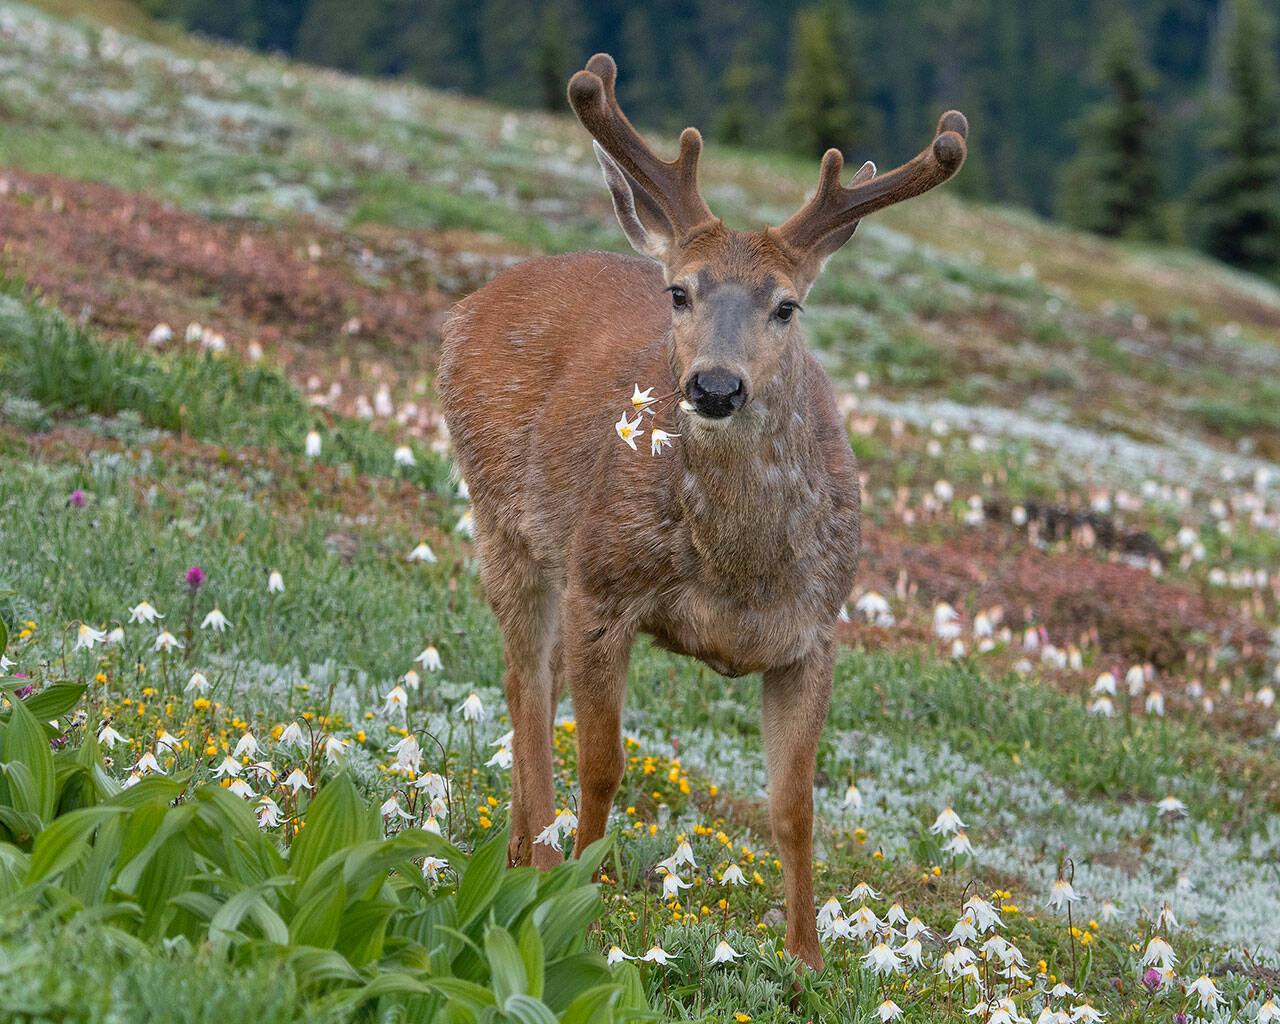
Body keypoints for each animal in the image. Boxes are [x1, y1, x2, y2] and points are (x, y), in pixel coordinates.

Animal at [435, 54, 962, 967]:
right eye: (679, 292)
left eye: (787, 304)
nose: (715, 386)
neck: (738, 571)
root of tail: (472, 303)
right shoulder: (601, 585)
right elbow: (603, 765)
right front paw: (584, 903)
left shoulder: (814, 635)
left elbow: (795, 808)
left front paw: (806, 959)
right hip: (504, 521)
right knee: (524, 688)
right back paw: (535, 860)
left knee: (536, 682)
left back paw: (521, 854)